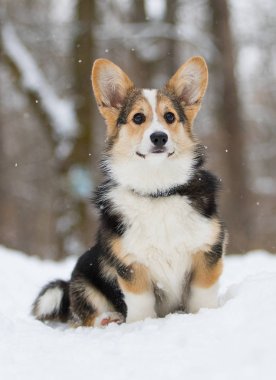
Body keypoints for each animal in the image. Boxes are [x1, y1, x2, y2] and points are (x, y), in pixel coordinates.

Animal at [32, 55, 226, 326]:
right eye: (138, 118)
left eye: (169, 117)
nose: (159, 137)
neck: (157, 191)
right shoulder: (132, 265)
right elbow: (141, 305)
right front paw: (139, 326)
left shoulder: (206, 252)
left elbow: (202, 298)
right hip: (84, 273)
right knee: (82, 314)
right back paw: (107, 319)